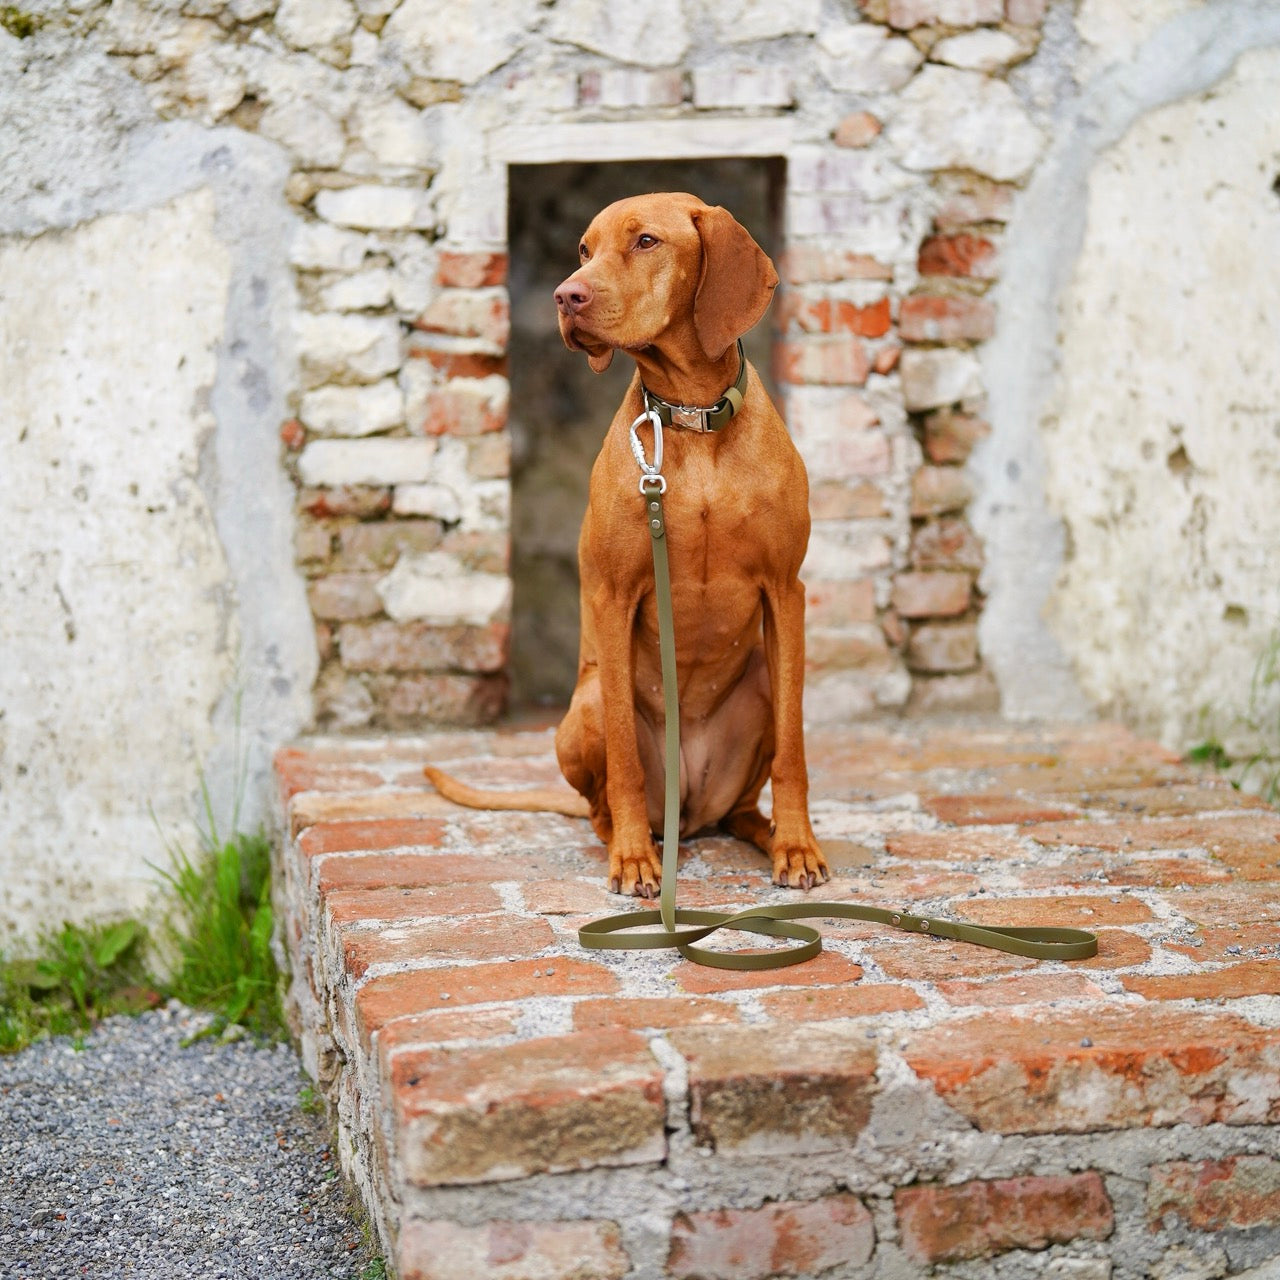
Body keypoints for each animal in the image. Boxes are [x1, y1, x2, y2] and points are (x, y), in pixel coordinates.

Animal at [430, 194, 829, 901]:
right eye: (584, 250)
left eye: (646, 241)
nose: (566, 296)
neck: (691, 422)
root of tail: (689, 813)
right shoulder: (615, 598)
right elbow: (623, 759)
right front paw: (636, 860)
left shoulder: (787, 591)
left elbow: (794, 746)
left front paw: (796, 845)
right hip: (584, 706)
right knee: (603, 804)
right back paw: (630, 838)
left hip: (757, 681)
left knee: (738, 808)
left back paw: (761, 832)